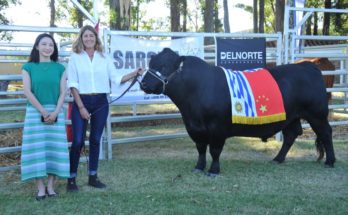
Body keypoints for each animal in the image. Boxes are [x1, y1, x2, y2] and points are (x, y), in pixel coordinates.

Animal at [140, 47, 336, 176]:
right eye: (150, 64)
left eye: (164, 66)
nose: (143, 83)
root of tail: (307, 65)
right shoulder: (195, 128)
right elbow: (201, 149)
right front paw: (198, 167)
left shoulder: (218, 128)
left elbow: (215, 150)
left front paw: (213, 170)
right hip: (292, 116)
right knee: (291, 134)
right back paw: (277, 159)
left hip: (317, 114)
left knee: (326, 133)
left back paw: (330, 161)